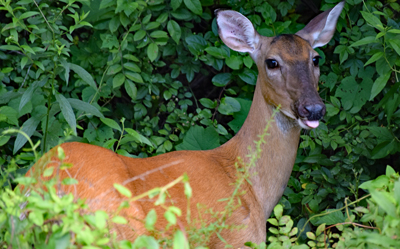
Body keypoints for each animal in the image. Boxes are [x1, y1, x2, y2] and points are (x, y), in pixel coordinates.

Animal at [24, 1, 344, 247]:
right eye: (272, 62)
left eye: (315, 58)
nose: (313, 108)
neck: (249, 183)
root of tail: (49, 187)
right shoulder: (237, 238)